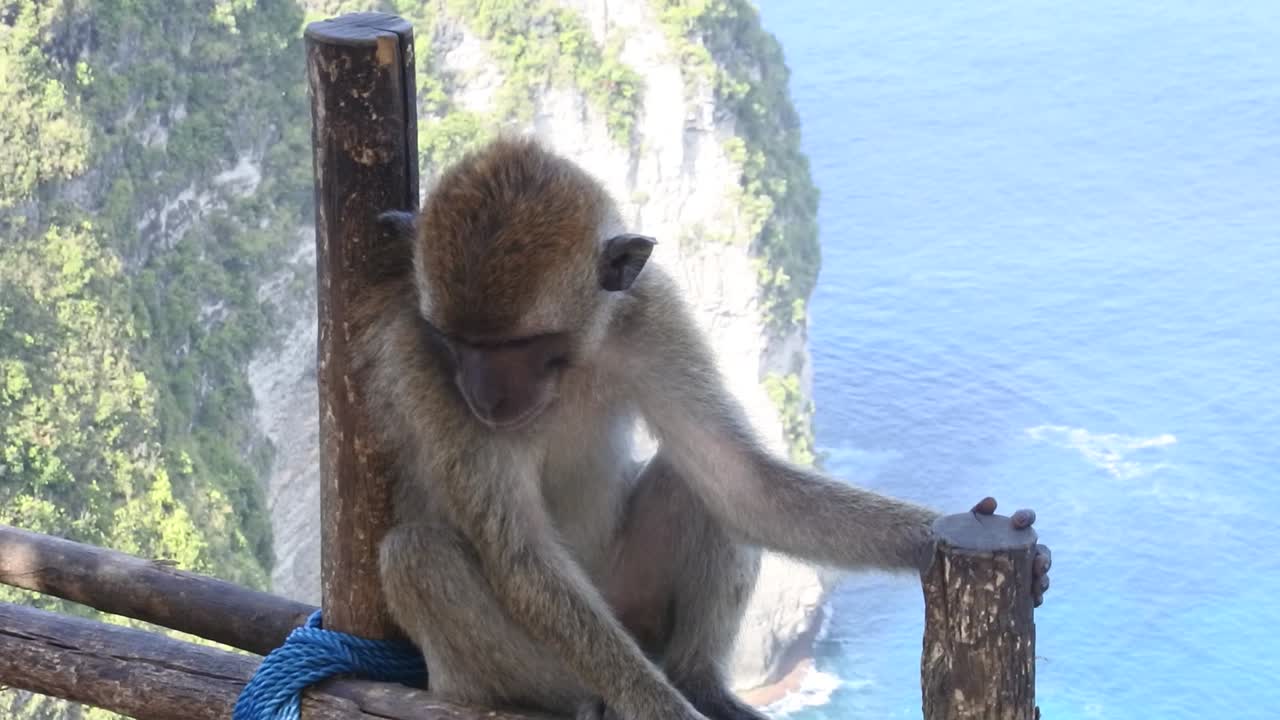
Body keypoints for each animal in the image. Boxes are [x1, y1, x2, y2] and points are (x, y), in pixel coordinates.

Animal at [353, 136, 1052, 720]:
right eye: (456, 342)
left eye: (519, 346)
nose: (481, 393)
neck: (572, 367)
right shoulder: (421, 358)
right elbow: (521, 558)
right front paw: (657, 707)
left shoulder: (651, 314)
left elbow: (740, 481)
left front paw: (936, 538)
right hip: (505, 672)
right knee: (418, 556)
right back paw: (591, 701)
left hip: (632, 604)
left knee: (695, 484)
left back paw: (698, 680)